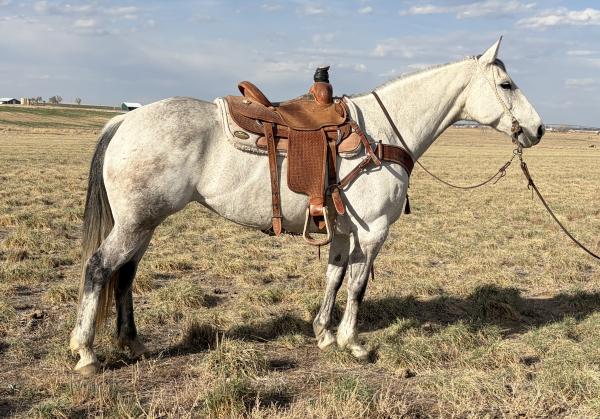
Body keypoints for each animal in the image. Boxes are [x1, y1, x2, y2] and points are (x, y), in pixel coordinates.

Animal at [69, 38, 544, 375]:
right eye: (506, 85)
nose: (538, 129)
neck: (384, 133)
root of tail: (125, 119)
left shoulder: (342, 229)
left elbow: (334, 276)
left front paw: (323, 334)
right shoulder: (373, 231)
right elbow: (357, 285)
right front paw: (353, 343)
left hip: (145, 223)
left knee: (125, 275)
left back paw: (132, 342)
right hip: (136, 222)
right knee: (99, 268)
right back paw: (86, 352)